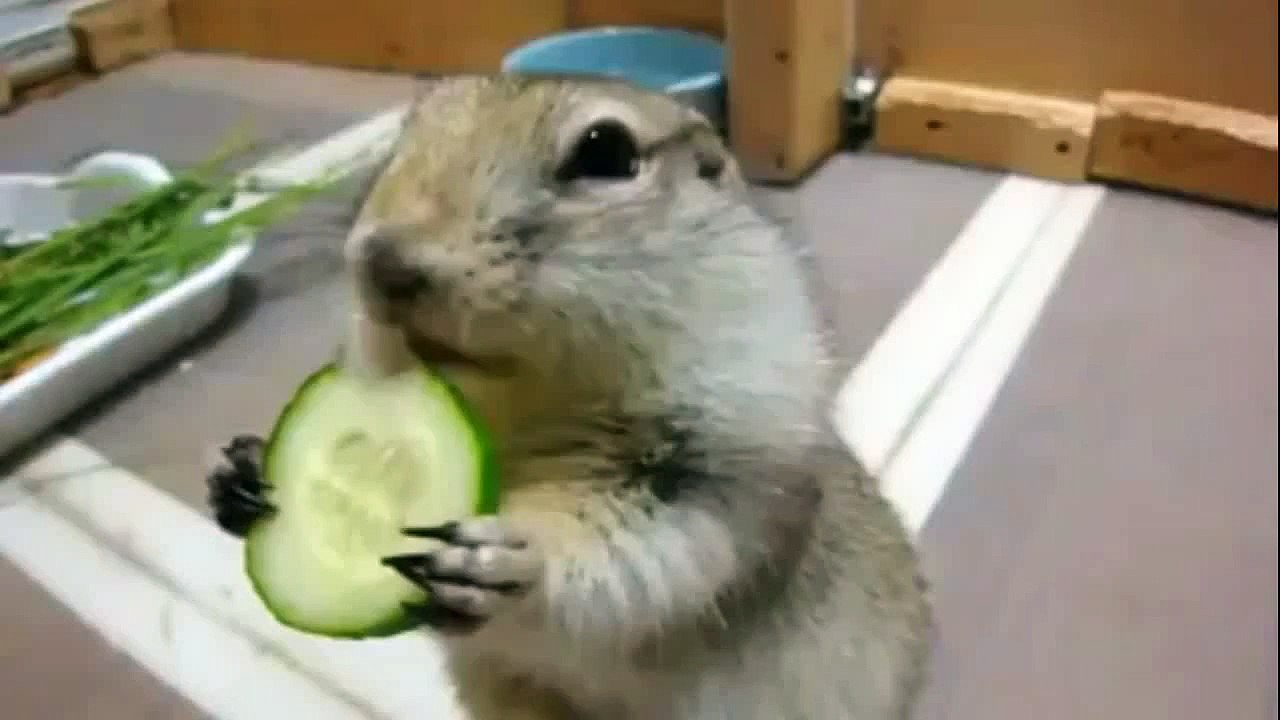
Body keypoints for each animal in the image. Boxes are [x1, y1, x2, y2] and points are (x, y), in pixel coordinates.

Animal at [207, 75, 934, 720]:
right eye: (407, 129)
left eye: (605, 151)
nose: (378, 260)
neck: (516, 411)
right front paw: (243, 472)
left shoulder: (724, 455)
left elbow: (644, 546)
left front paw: (500, 553)